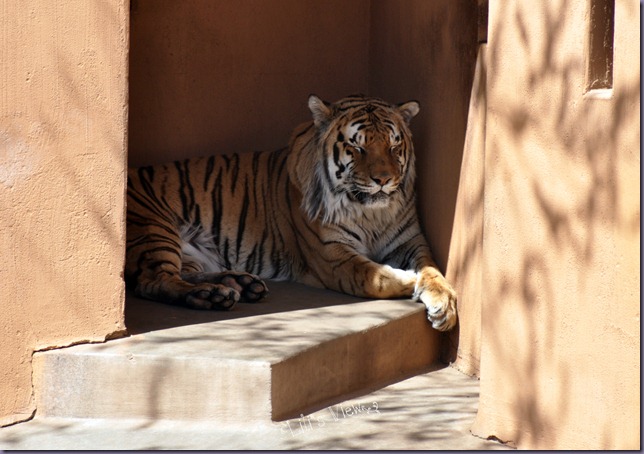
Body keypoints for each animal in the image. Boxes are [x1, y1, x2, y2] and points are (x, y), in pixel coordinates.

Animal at [126, 94, 457, 331]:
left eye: (393, 146)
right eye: (357, 148)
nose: (384, 180)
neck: (371, 213)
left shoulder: (410, 241)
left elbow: (433, 269)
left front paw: (444, 302)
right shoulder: (332, 255)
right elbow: (375, 276)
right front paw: (412, 281)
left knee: (180, 272)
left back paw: (238, 285)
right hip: (154, 228)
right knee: (154, 281)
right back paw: (212, 294)